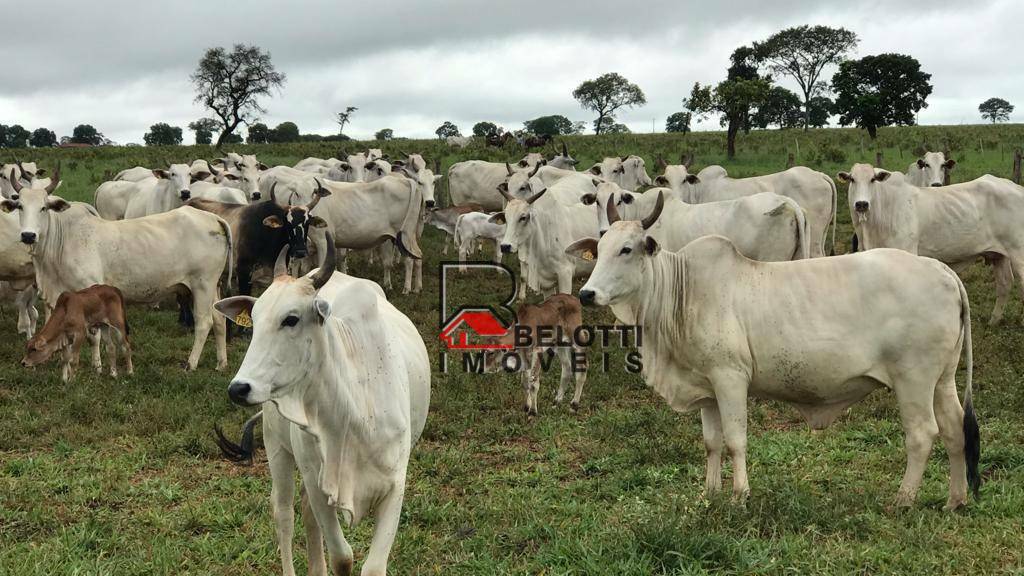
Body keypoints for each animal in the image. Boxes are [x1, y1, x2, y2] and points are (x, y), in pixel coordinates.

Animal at [4, 176, 232, 373]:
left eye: (43, 207)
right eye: (20, 206)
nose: (28, 235)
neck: (62, 240)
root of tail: (213, 217)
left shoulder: (89, 291)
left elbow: (93, 335)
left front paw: (97, 366)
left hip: (202, 284)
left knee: (204, 322)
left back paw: (191, 363)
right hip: (212, 287)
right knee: (219, 319)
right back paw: (221, 363)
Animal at [211, 236, 428, 573]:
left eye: (291, 319)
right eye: (254, 321)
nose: (239, 388)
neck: (354, 414)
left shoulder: (395, 484)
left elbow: (373, 566)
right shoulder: (318, 482)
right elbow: (342, 557)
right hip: (278, 447)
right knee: (284, 513)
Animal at [573, 212, 978, 506]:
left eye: (626, 249)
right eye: (600, 248)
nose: (586, 294)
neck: (683, 290)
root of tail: (942, 271)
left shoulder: (730, 378)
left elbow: (735, 440)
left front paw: (739, 496)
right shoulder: (707, 388)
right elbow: (711, 443)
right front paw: (709, 494)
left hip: (914, 379)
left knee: (922, 434)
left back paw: (903, 500)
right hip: (942, 379)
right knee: (955, 428)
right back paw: (955, 500)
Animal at [843, 161, 1024, 323]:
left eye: (873, 179)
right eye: (852, 179)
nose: (861, 204)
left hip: (1018, 253)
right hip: (999, 255)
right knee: (1005, 284)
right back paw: (994, 321)